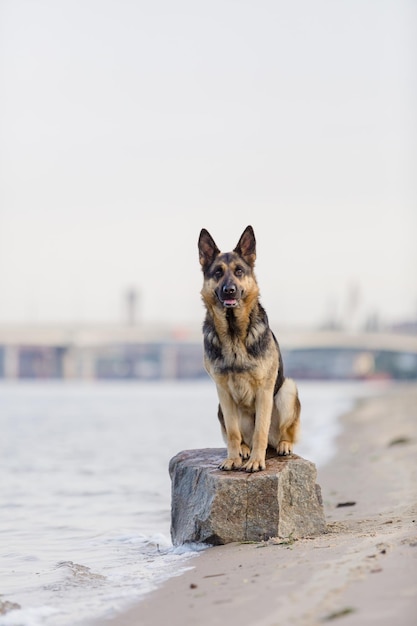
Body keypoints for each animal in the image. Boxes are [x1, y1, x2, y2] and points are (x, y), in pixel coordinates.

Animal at [197, 227, 300, 470]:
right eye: (217, 272)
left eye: (239, 271)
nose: (229, 290)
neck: (234, 333)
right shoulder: (223, 392)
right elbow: (233, 433)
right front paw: (233, 458)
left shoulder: (265, 390)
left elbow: (260, 431)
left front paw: (256, 462)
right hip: (220, 408)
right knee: (240, 435)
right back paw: (244, 450)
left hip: (287, 390)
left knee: (281, 433)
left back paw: (283, 445)